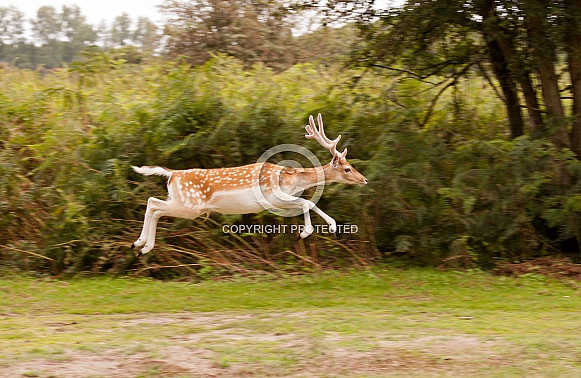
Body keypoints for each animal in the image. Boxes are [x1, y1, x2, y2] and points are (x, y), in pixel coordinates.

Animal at [131, 113, 368, 255]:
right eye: (347, 169)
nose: (364, 179)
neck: (291, 179)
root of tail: (172, 174)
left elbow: (309, 203)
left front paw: (333, 226)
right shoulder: (273, 197)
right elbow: (307, 203)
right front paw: (305, 233)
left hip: (183, 203)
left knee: (154, 206)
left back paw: (140, 246)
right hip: (189, 206)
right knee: (153, 204)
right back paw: (142, 245)